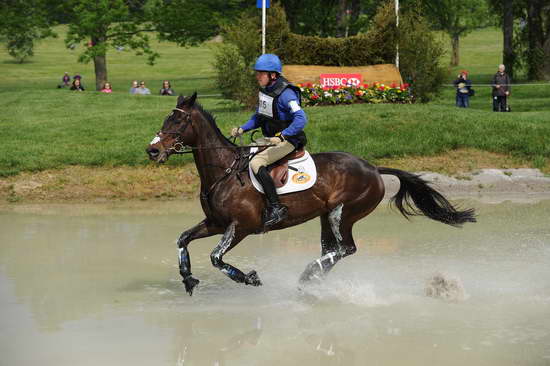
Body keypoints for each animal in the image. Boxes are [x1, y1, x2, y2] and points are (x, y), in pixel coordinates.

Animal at [147, 93, 478, 296]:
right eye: (166, 120)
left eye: (177, 122)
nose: (152, 150)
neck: (224, 172)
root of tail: (372, 167)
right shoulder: (216, 223)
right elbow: (182, 240)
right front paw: (188, 278)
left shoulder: (240, 227)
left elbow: (216, 257)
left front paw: (250, 278)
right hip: (325, 216)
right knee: (332, 250)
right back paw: (314, 279)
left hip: (343, 213)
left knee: (347, 248)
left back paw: (308, 275)